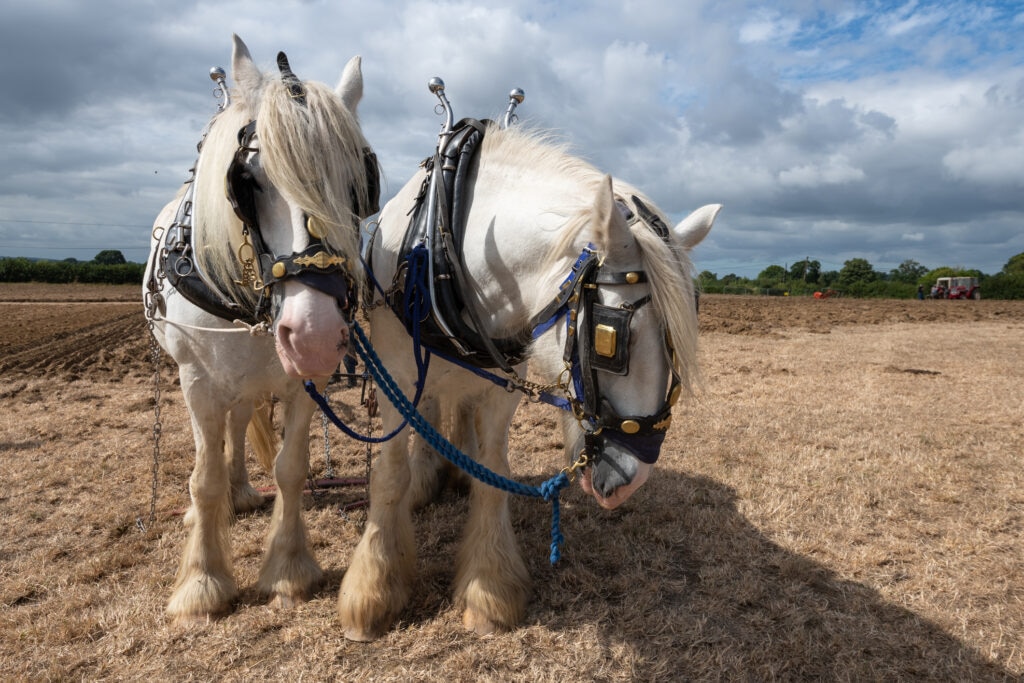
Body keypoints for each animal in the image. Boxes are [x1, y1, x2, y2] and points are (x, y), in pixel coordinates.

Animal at [143, 34, 378, 622]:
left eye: (359, 183)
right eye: (247, 182)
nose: (314, 334)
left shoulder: (302, 382)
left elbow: (291, 468)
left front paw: (288, 570)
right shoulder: (197, 381)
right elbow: (202, 478)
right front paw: (201, 584)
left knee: (238, 423)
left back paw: (243, 491)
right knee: (213, 443)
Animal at [341, 117, 719, 639]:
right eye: (611, 337)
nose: (633, 478)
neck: (446, 244)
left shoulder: (503, 382)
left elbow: (494, 473)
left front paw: (488, 591)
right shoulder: (392, 368)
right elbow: (390, 475)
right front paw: (373, 593)